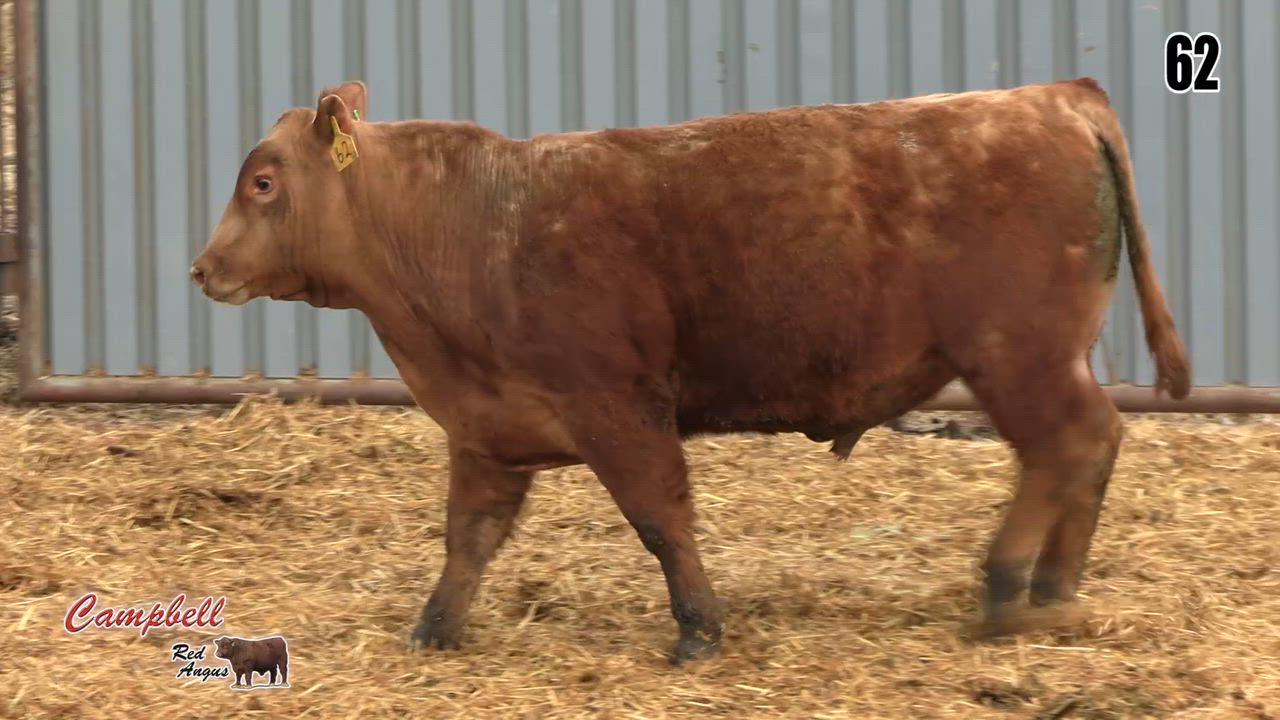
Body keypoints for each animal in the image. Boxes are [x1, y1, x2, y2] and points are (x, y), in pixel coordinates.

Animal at [191, 78, 1189, 662]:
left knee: (1069, 445)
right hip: (1042, 358)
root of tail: (1052, 96)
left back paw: (1008, 586)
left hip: (1018, 356)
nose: (203, 268)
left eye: (264, 183)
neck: (480, 223)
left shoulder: (618, 408)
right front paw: (434, 630)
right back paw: (1055, 587)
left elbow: (661, 518)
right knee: (1091, 448)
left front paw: (699, 629)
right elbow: (467, 539)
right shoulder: (488, 429)